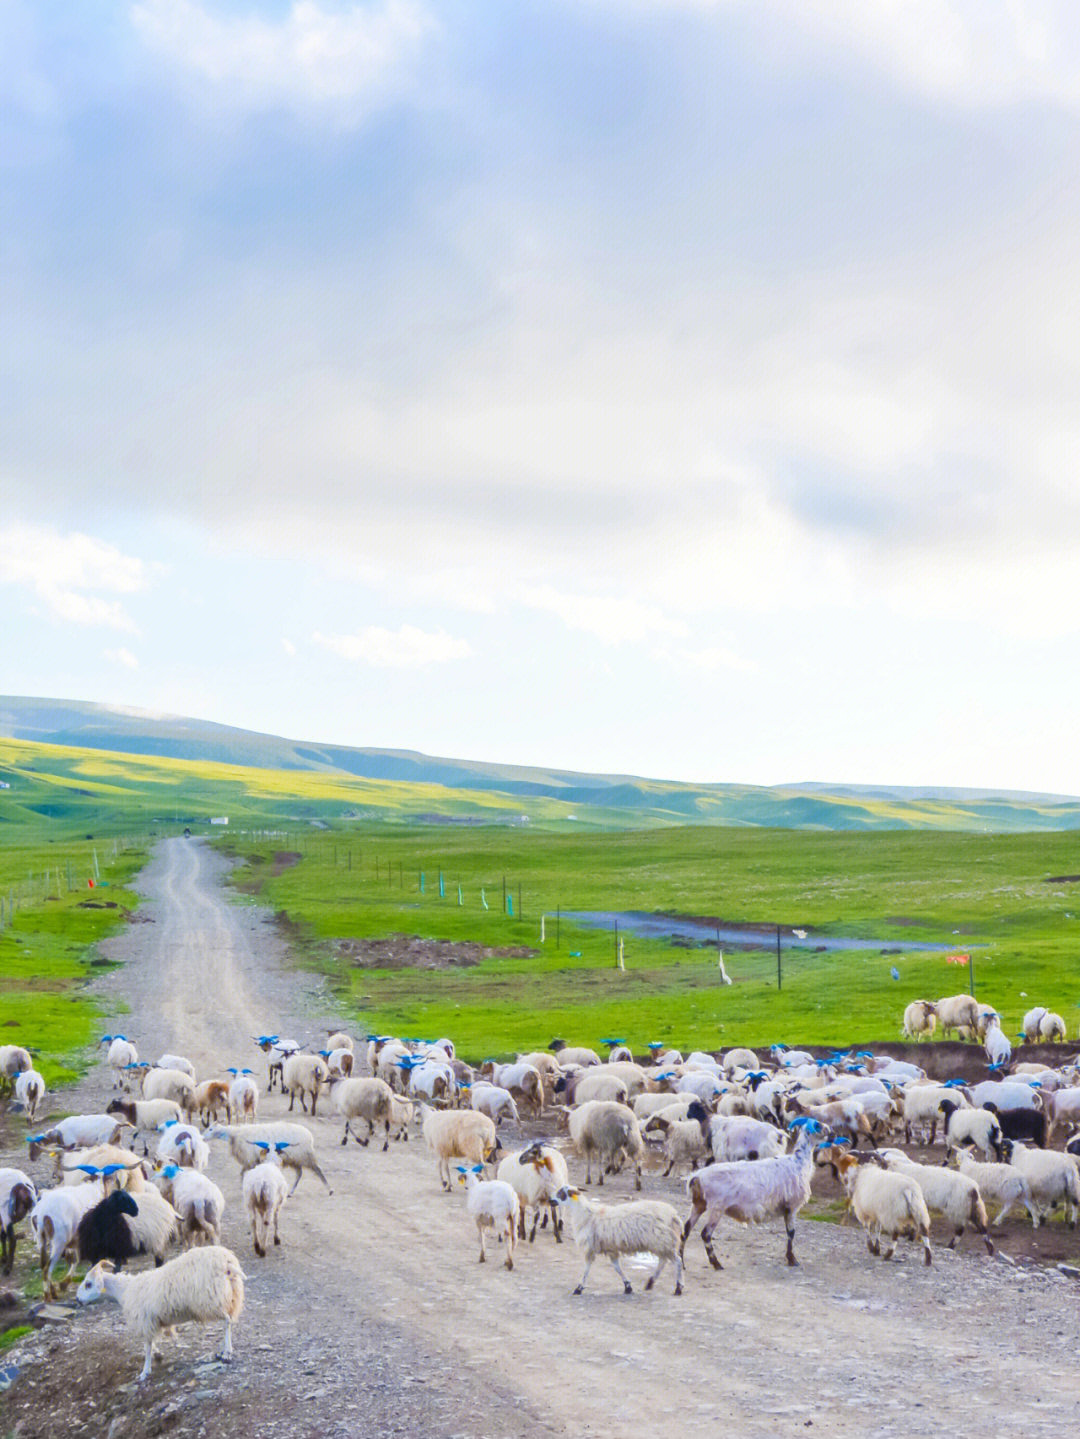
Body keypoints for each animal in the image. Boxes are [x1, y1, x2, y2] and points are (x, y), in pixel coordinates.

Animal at [76, 1249, 247, 1381]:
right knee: (228, 1321)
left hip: (211, 1299)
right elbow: (151, 1344)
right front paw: (157, 1356)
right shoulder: (154, 1322)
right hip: (231, 1297)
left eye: (88, 1284)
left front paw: (145, 1371)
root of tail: (227, 1261)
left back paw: (227, 1353)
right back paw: (222, 1350)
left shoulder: (145, 1320)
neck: (125, 1289)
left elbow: (147, 1346)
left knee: (227, 1321)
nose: (77, 1300)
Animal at [204, 1116, 332, 1197]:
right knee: (299, 1173)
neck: (234, 1135)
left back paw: (330, 1189)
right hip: (295, 1159)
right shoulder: (252, 1161)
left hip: (304, 1156)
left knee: (318, 1170)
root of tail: (309, 1134)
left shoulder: (250, 1159)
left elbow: (243, 1174)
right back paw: (291, 1192)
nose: (203, 1137)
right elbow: (244, 1173)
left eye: (211, 1128)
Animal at [549, 1185, 684, 1300]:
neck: (585, 1214)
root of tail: (673, 1214)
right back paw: (650, 1282)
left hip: (661, 1240)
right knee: (663, 1260)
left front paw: (578, 1288)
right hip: (661, 1242)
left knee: (676, 1261)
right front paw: (628, 1286)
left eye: (561, 1193)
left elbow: (586, 1269)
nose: (550, 1201)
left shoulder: (590, 1248)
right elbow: (617, 1267)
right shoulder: (611, 1248)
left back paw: (678, 1288)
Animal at [684, 1116, 828, 1266]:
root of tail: (696, 1176)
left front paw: (790, 1257)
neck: (799, 1162)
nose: (830, 1131)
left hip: (698, 1204)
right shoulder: (792, 1206)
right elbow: (791, 1232)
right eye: (818, 1125)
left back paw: (682, 1262)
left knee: (686, 1229)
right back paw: (716, 1263)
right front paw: (792, 1259)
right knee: (705, 1233)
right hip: (716, 1207)